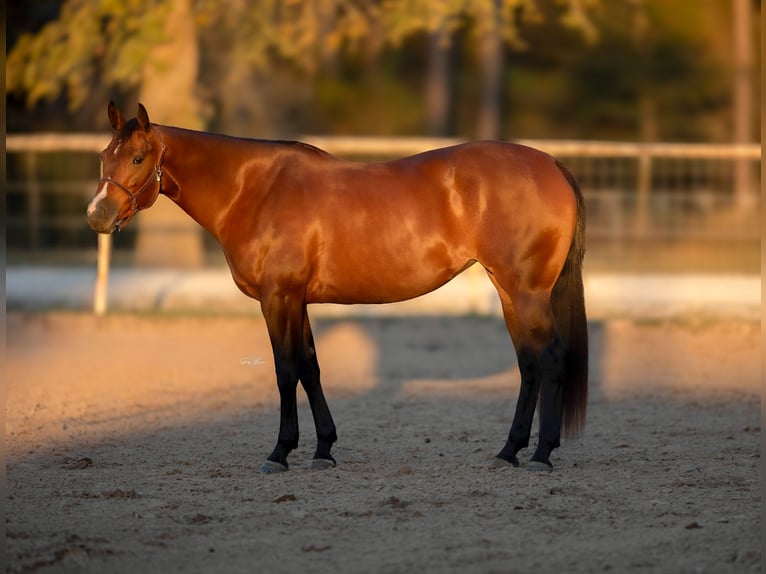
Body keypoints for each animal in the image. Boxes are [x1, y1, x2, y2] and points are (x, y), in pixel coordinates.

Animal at [87, 101, 588, 473]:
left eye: (137, 158)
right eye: (103, 157)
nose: (97, 216)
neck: (254, 190)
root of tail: (551, 164)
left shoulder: (277, 298)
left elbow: (285, 370)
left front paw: (279, 453)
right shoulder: (297, 300)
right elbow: (310, 368)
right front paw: (323, 450)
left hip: (526, 293)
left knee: (550, 358)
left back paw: (541, 454)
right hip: (509, 292)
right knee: (528, 363)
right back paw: (509, 451)